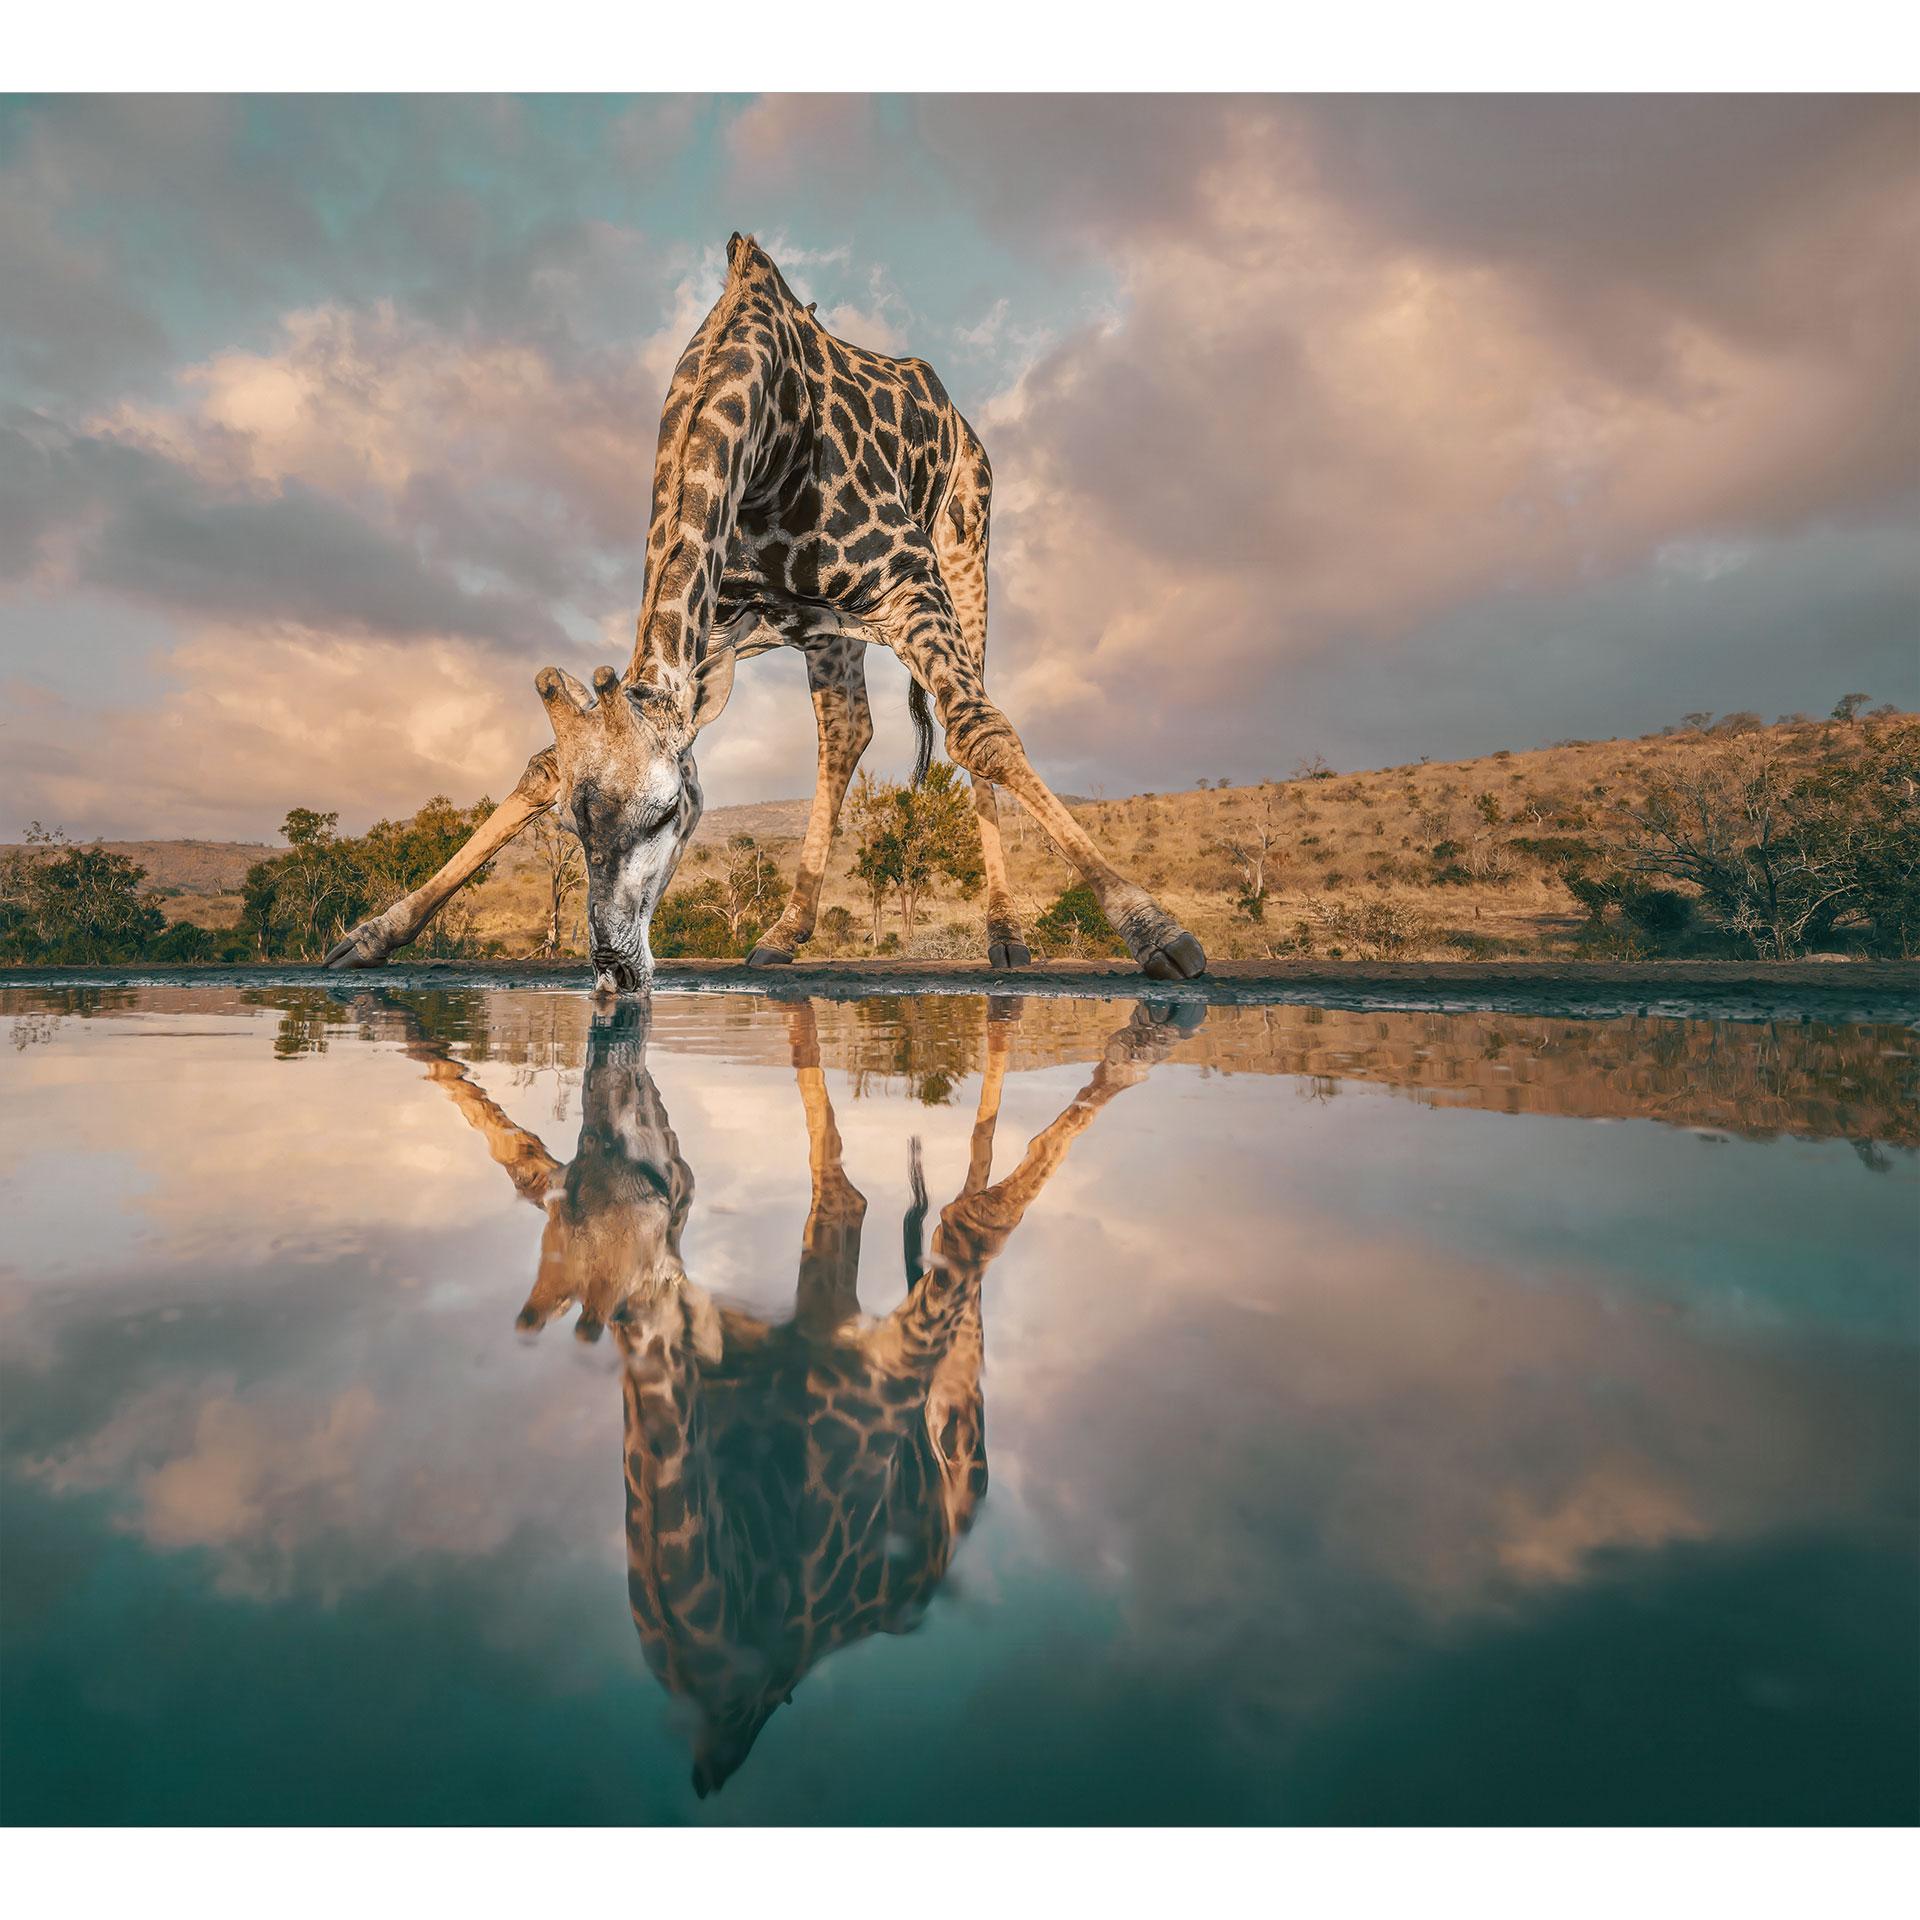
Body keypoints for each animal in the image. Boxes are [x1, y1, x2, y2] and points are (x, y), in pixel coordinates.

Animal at [325, 233, 1207, 989]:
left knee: (967, 721)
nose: (613, 968)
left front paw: (1158, 933)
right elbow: (544, 764)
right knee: (846, 733)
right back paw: (783, 933)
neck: (766, 431)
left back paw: (1003, 936)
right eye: (574, 831)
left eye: (667, 814)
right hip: (826, 630)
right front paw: (371, 934)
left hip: (966, 553)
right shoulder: (712, 629)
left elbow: (981, 733)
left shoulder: (907, 576)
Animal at [380, 989, 1197, 1793]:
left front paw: (1139, 1044)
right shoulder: (821, 1314)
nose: (620, 1082)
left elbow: (965, 1220)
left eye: (664, 1185)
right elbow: (869, 1183)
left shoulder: (879, 1350)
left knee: (963, 1240)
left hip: (956, 1411)